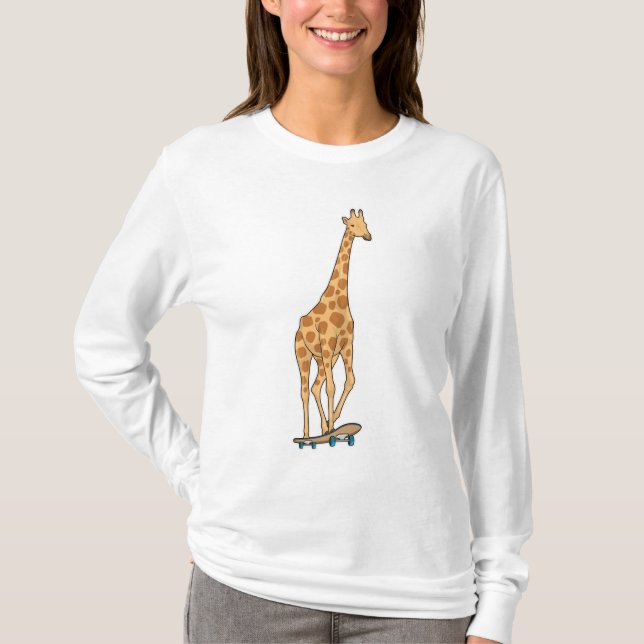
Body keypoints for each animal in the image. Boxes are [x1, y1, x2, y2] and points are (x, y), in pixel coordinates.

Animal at [294, 208, 372, 439]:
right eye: (352, 225)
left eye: (365, 224)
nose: (368, 236)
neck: (340, 300)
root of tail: (298, 329)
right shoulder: (329, 346)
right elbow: (332, 386)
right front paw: (330, 428)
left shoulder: (346, 346)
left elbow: (349, 380)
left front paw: (333, 422)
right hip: (304, 355)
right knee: (304, 390)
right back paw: (307, 434)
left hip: (322, 359)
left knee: (314, 387)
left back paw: (322, 427)